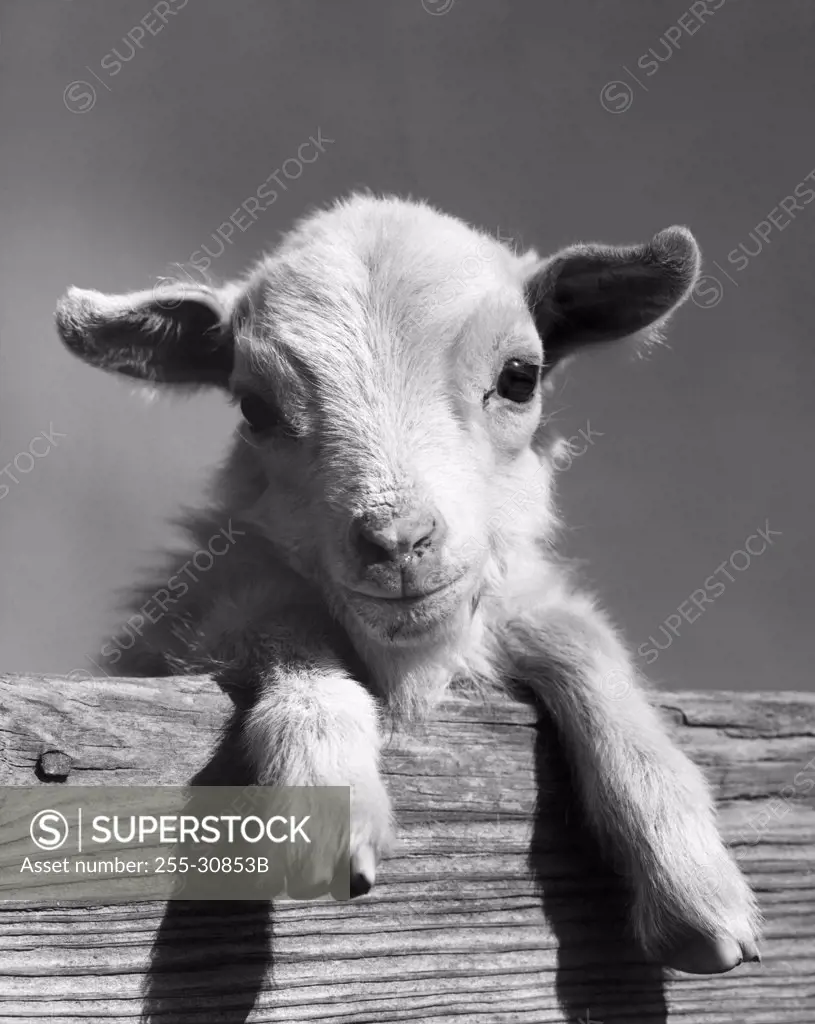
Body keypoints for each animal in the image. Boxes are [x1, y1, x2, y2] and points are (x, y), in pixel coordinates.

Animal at [55, 190, 757, 974]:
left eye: (520, 378)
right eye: (254, 408)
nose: (397, 541)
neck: (412, 670)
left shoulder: (518, 598)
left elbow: (580, 639)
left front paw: (695, 888)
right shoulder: (214, 612)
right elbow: (283, 629)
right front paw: (328, 801)